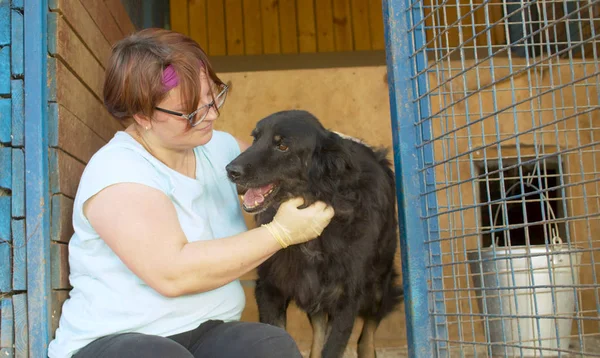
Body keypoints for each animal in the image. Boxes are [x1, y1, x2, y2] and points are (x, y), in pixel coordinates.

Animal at [225, 110, 404, 358]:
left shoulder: (347, 299)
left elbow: (334, 347)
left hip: (378, 282)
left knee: (368, 330)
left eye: (282, 146)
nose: (231, 171)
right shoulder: (270, 289)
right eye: (255, 138)